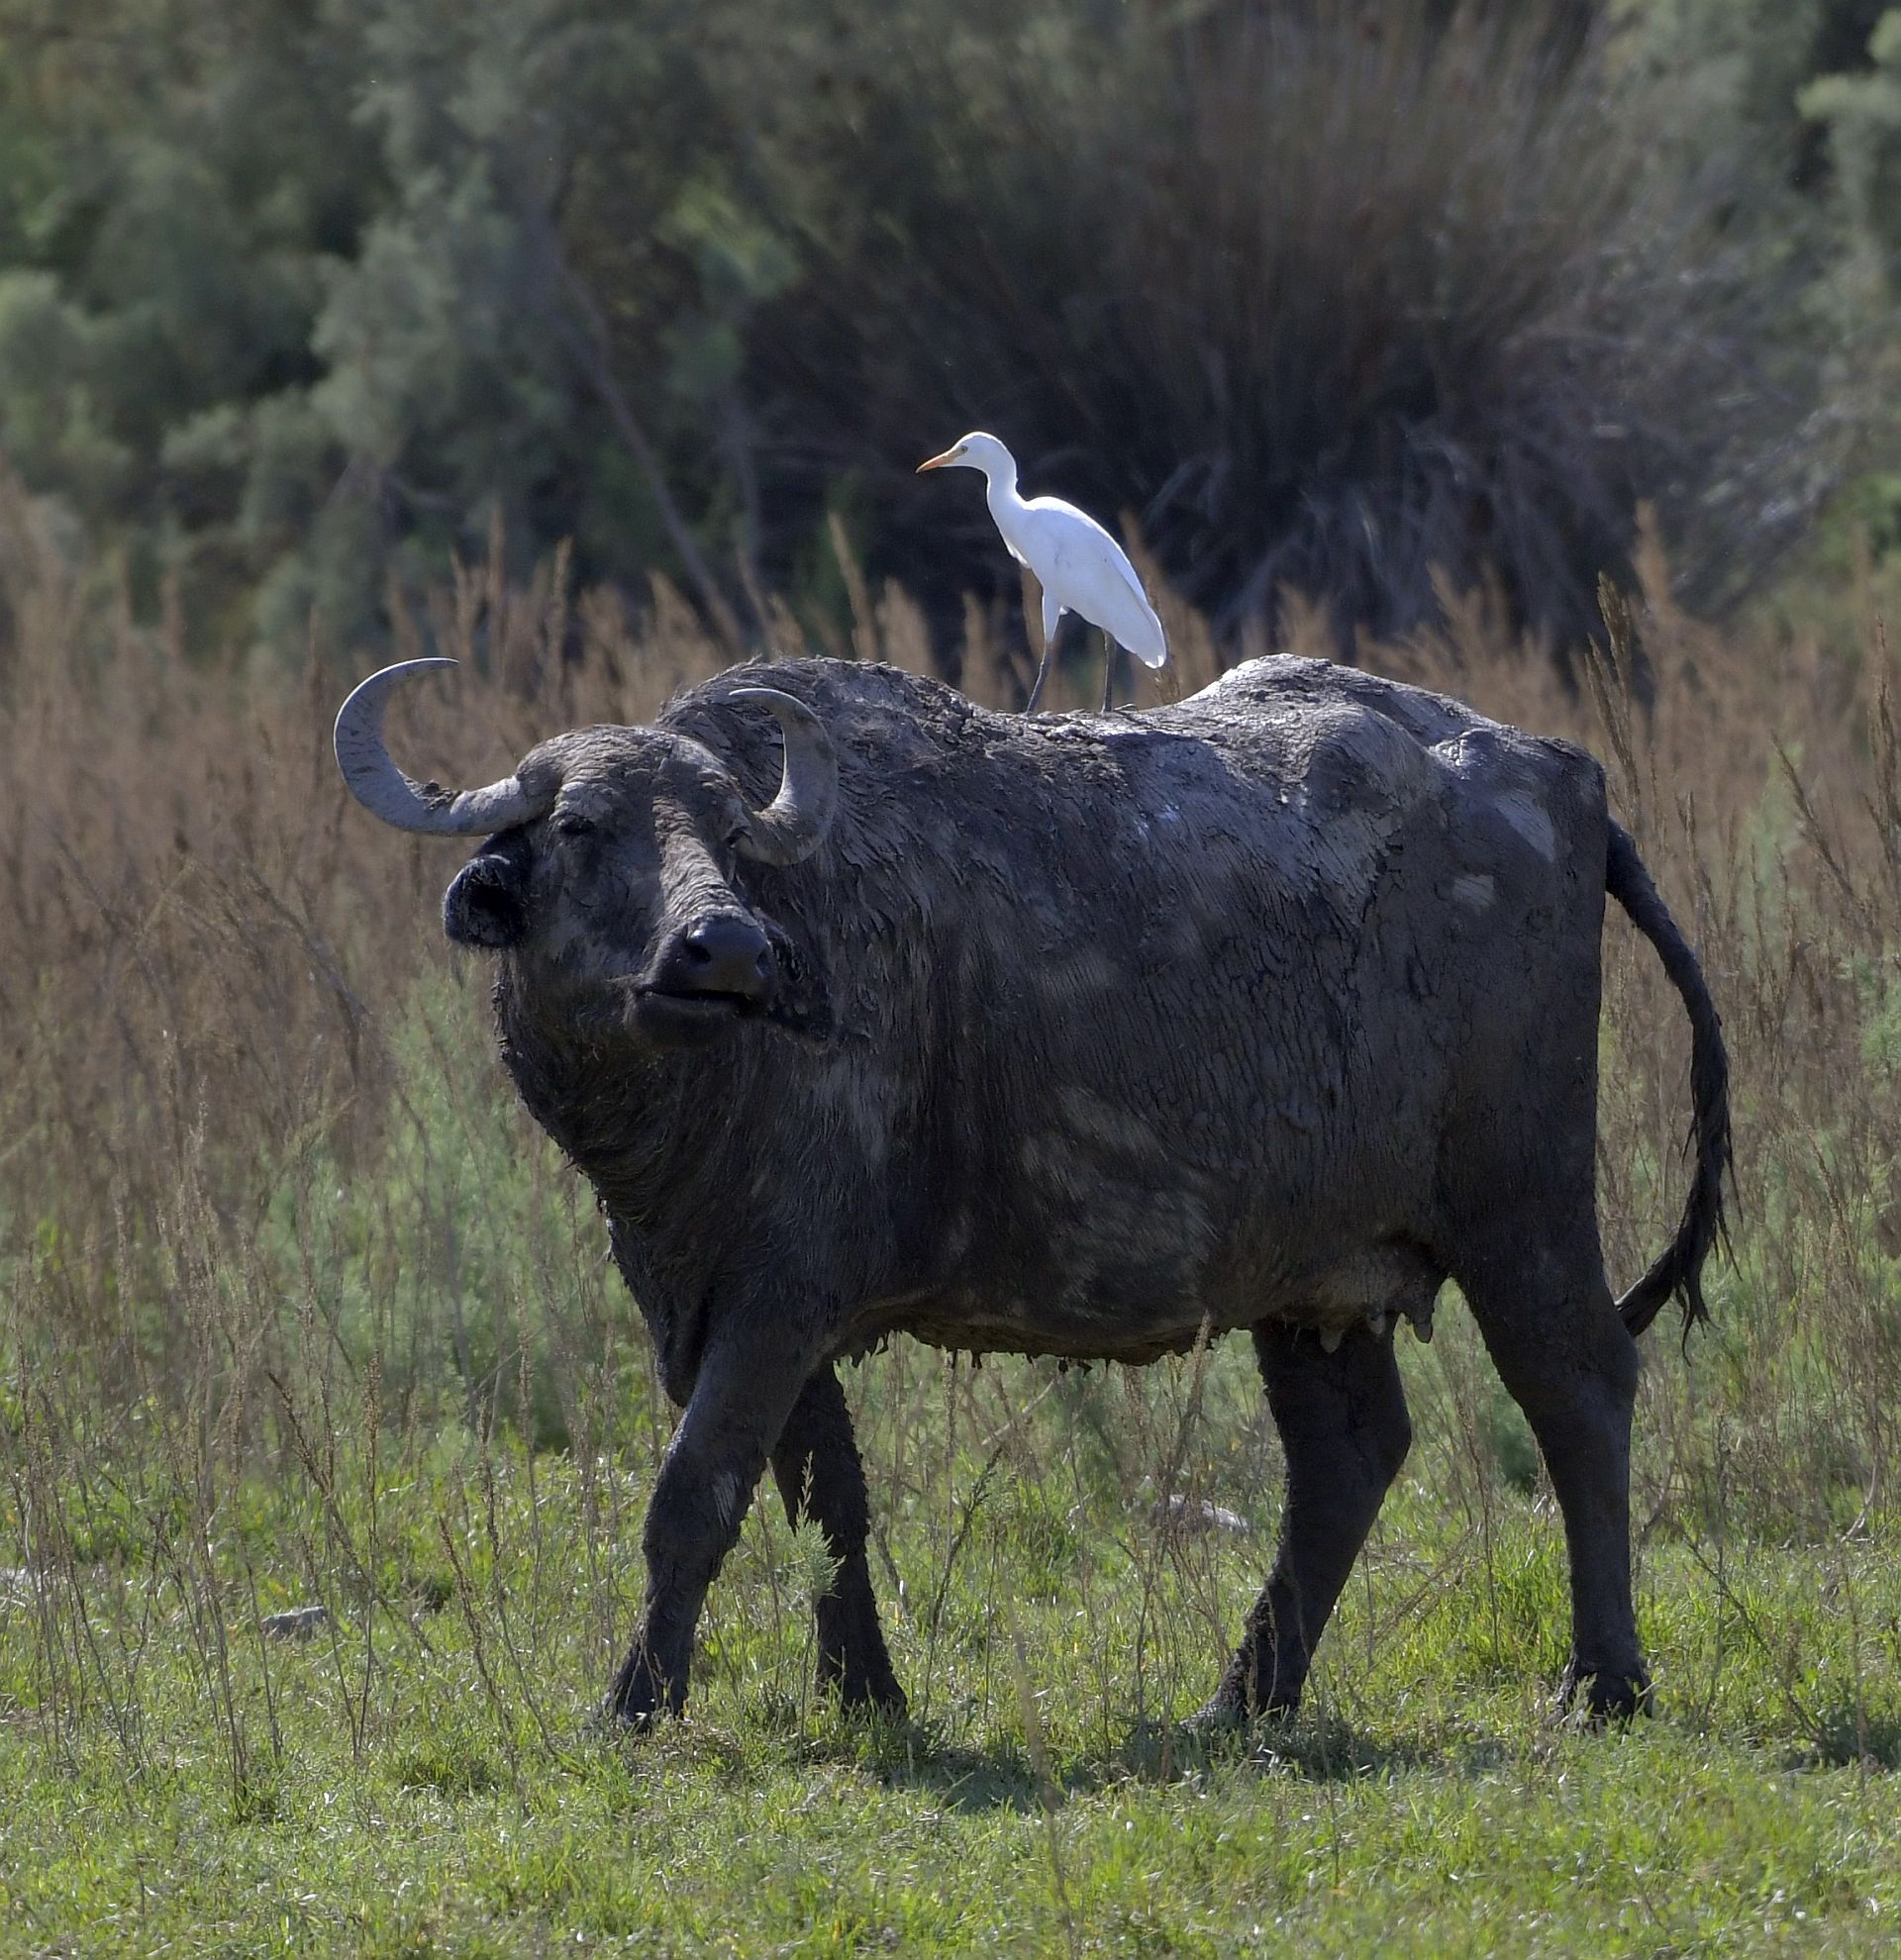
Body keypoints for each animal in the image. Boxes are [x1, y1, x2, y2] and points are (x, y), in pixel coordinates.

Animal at [333, 650, 1724, 1724]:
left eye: (729, 835)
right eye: (581, 829)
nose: (722, 948)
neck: (703, 1103)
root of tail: (1566, 778)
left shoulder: (781, 1295)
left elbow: (697, 1494)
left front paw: (634, 1703)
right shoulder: (713, 1300)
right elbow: (825, 1502)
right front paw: (867, 1695)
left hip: (1521, 1203)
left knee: (1578, 1388)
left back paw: (1603, 1683)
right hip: (1308, 1280)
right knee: (1350, 1457)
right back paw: (1241, 1700)